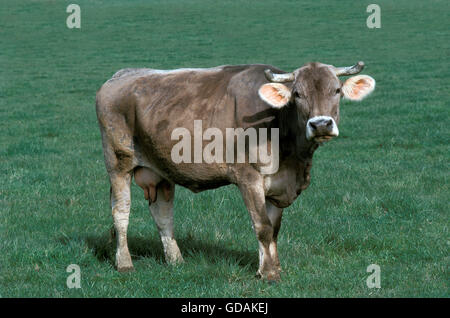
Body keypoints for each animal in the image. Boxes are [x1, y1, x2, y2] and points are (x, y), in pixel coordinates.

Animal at [96, 61, 376, 280]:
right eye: (297, 93)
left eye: (337, 90)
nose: (320, 124)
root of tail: (122, 75)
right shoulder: (248, 177)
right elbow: (262, 226)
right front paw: (269, 274)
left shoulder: (278, 185)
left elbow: (274, 229)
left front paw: (272, 268)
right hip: (118, 162)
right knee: (121, 211)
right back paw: (125, 264)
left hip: (161, 169)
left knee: (163, 214)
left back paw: (176, 261)